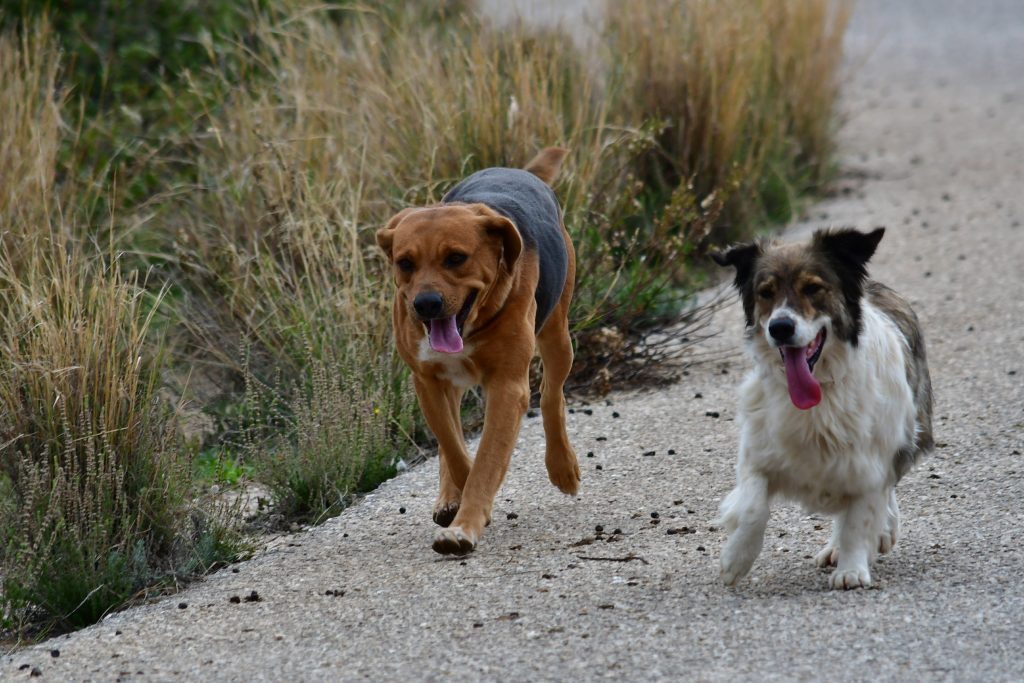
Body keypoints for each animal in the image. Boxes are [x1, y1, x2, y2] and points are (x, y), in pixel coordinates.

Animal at [380, 149, 581, 557]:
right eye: (405, 263)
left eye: (456, 258)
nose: (426, 304)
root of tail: (519, 171)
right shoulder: (428, 381)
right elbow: (455, 449)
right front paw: (460, 502)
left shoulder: (507, 386)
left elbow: (486, 459)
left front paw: (466, 525)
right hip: (449, 379)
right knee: (451, 436)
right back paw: (449, 497)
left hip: (557, 336)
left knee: (552, 396)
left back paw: (562, 466)